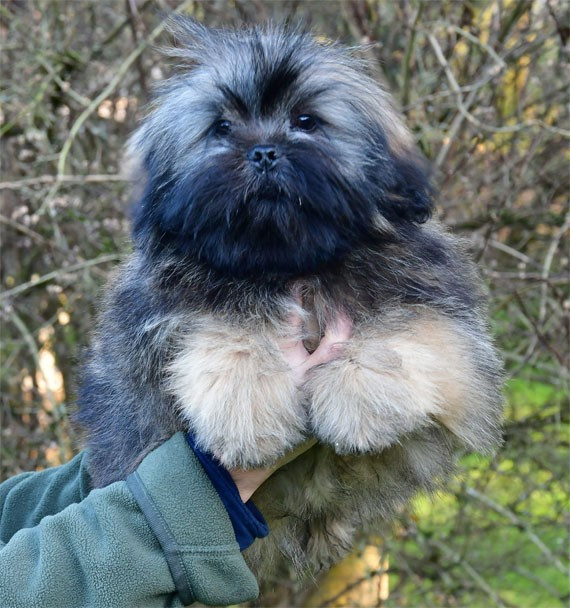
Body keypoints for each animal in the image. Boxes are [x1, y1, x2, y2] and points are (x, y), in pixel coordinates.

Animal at [76, 18, 503, 581]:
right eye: (221, 128)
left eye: (306, 121)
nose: (263, 152)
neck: (285, 263)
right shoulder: (162, 312)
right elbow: (226, 329)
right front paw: (248, 412)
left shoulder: (437, 304)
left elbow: (407, 330)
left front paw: (358, 400)